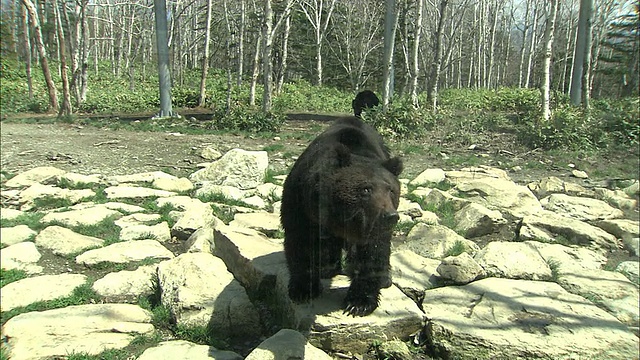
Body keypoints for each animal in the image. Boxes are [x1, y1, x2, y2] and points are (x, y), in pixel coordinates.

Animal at [282, 116, 402, 316]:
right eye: (366, 189)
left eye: (391, 190)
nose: (390, 216)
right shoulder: (301, 203)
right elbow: (301, 241)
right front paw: (302, 290)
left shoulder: (371, 225)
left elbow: (372, 252)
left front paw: (359, 302)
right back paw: (327, 268)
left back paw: (385, 279)